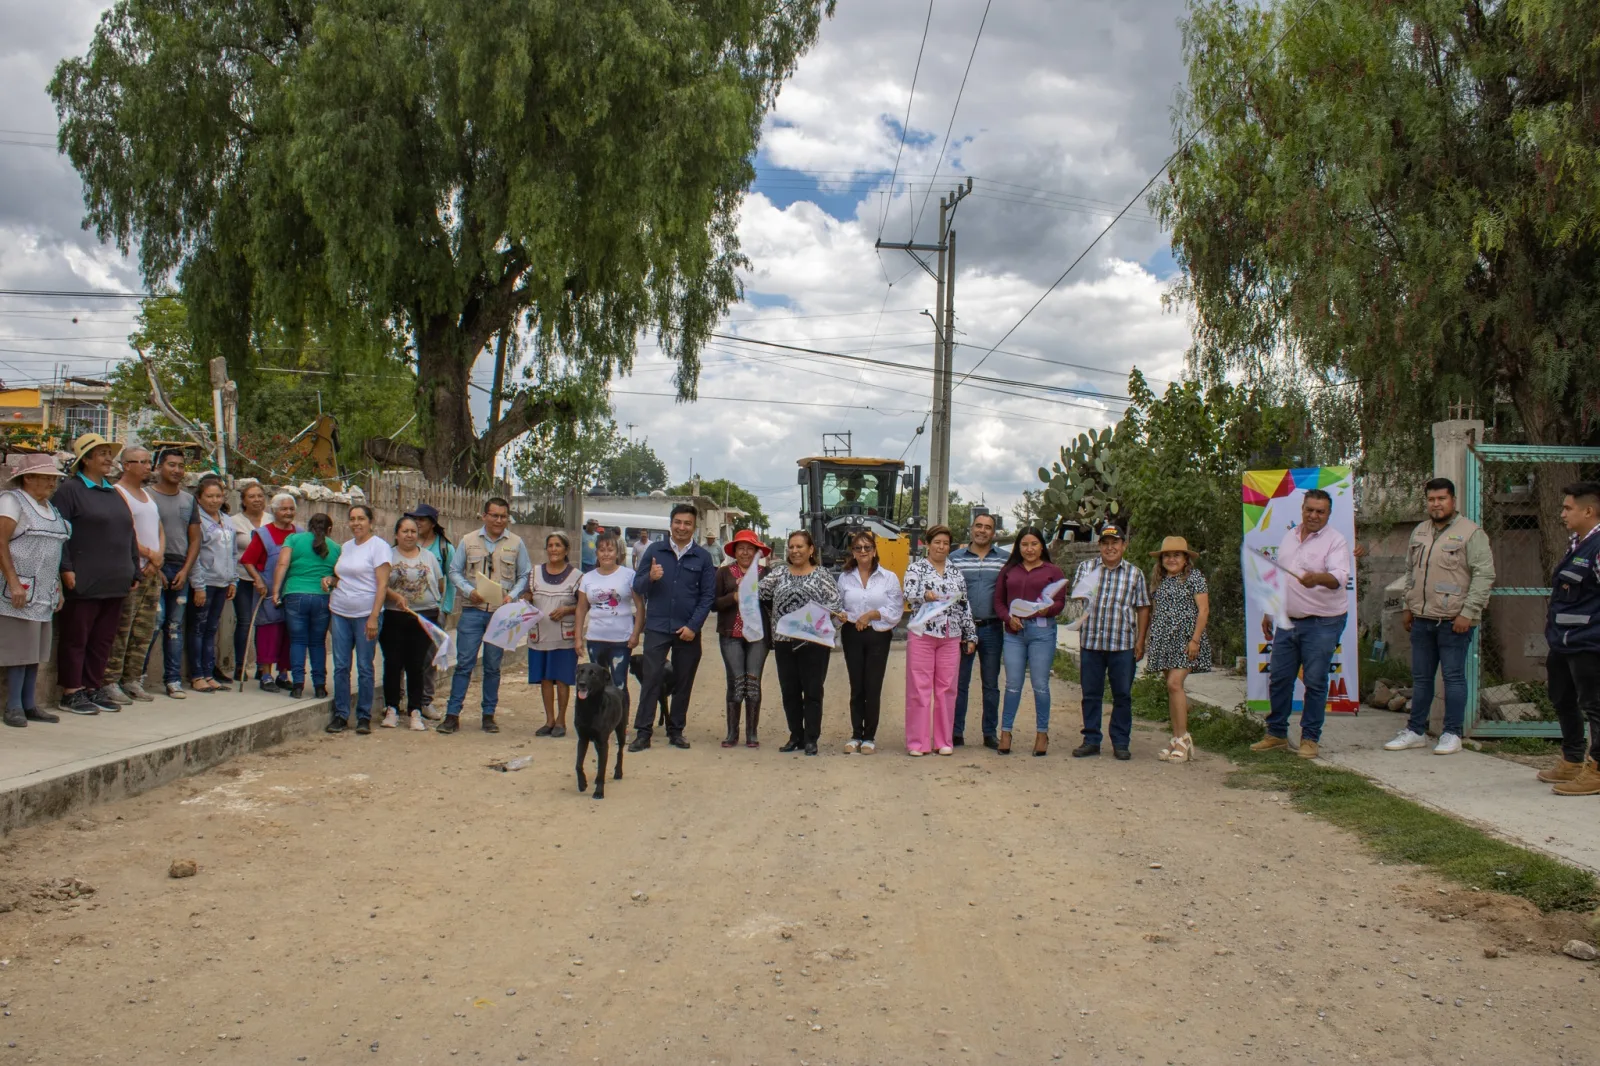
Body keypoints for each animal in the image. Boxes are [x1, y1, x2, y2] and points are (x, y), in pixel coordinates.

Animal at [576, 656, 624, 797]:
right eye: (580, 671)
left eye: (593, 674)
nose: (581, 684)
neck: (588, 708)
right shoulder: (582, 739)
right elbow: (578, 765)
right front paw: (582, 784)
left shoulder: (603, 742)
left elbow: (602, 769)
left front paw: (599, 792)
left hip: (621, 729)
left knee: (620, 751)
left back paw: (618, 772)